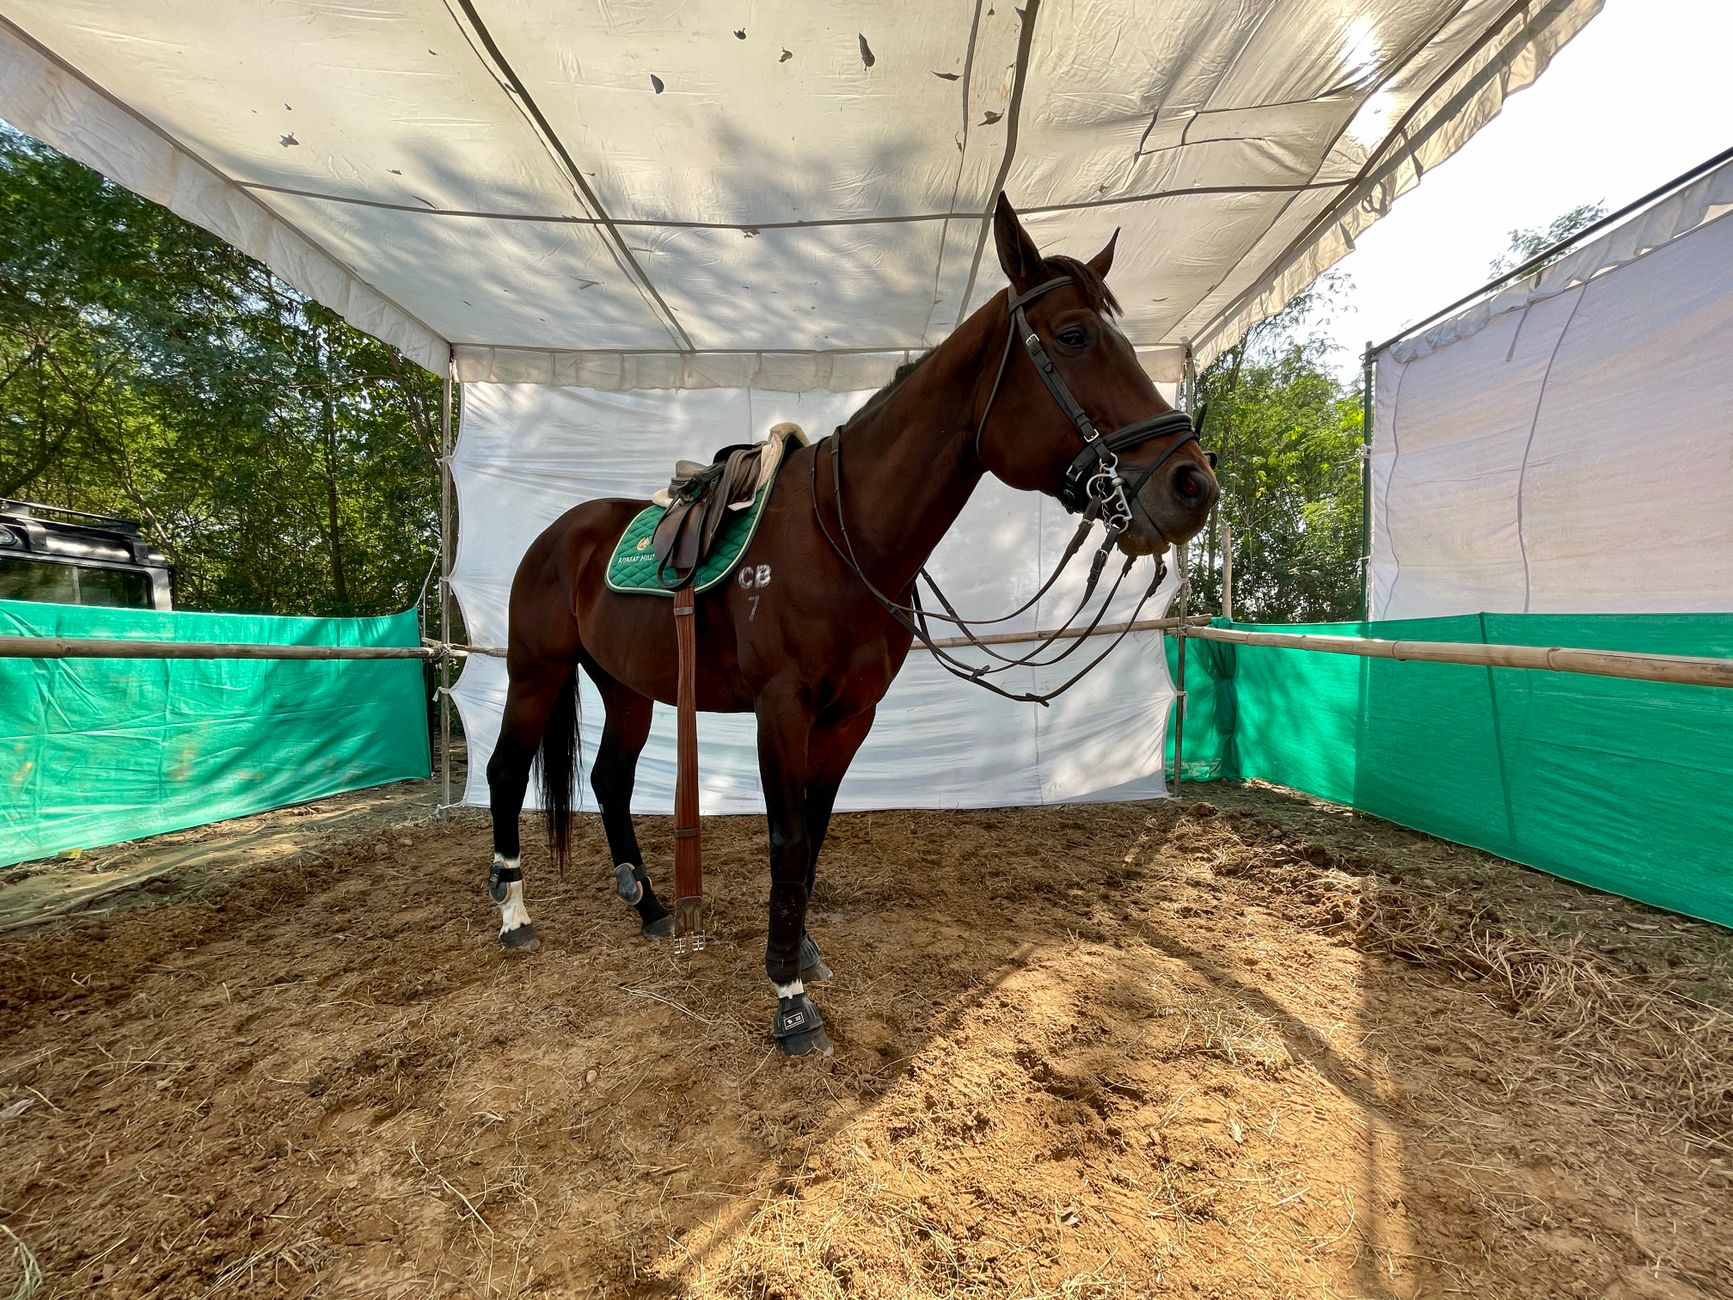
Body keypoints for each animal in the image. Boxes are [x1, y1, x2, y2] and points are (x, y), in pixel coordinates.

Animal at [483, 195, 1220, 1055]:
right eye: (1074, 336)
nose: (1191, 485)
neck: (843, 534)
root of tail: (558, 533)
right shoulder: (781, 708)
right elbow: (788, 837)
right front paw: (788, 996)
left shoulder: (850, 716)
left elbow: (817, 828)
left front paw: (800, 947)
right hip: (536, 671)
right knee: (505, 773)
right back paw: (513, 915)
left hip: (626, 686)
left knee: (608, 779)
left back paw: (653, 907)